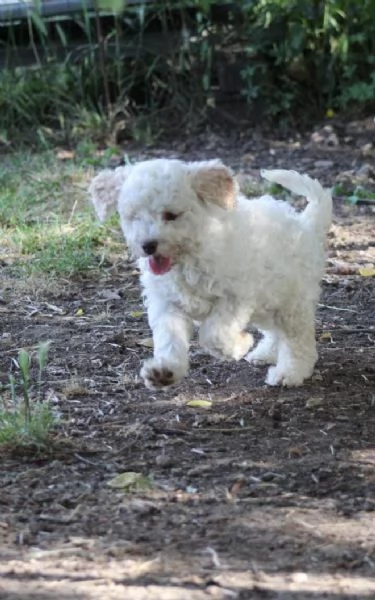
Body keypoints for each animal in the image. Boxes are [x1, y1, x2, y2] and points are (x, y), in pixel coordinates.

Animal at [89, 159, 332, 392]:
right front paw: (166, 370)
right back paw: (265, 353)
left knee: (297, 341)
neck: (188, 258)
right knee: (275, 332)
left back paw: (289, 372)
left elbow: (214, 334)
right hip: (270, 299)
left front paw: (240, 344)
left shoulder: (235, 297)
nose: (148, 245)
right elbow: (169, 338)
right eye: (134, 216)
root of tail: (306, 224)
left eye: (171, 215)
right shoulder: (167, 304)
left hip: (293, 303)